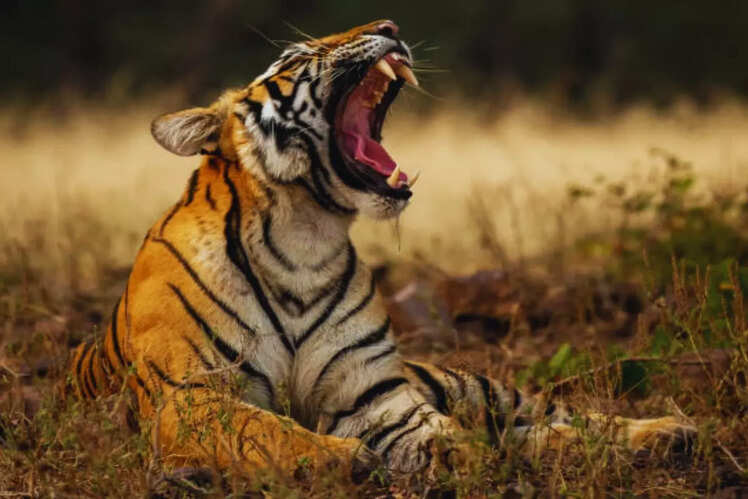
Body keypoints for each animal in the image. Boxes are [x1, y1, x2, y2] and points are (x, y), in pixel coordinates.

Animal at [69, 20, 695, 484]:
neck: (303, 240)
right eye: (296, 54)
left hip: (474, 384)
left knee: (560, 417)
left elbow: (443, 432)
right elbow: (265, 431)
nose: (389, 25)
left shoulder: (375, 397)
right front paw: (342, 460)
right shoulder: (191, 397)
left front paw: (464, 457)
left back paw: (667, 433)